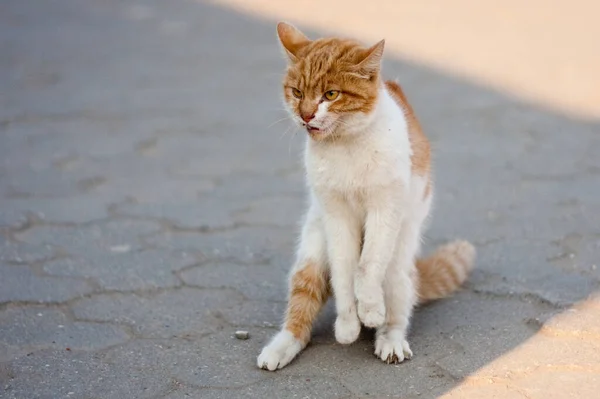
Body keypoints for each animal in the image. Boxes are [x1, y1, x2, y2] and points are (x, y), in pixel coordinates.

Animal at [255, 21, 476, 372]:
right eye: (298, 92)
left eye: (331, 94)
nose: (305, 115)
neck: (345, 145)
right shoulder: (335, 213)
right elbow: (345, 270)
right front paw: (348, 323)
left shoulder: (384, 209)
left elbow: (366, 265)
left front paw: (369, 309)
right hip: (312, 252)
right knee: (302, 305)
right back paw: (281, 348)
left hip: (399, 264)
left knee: (396, 311)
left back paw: (390, 340)